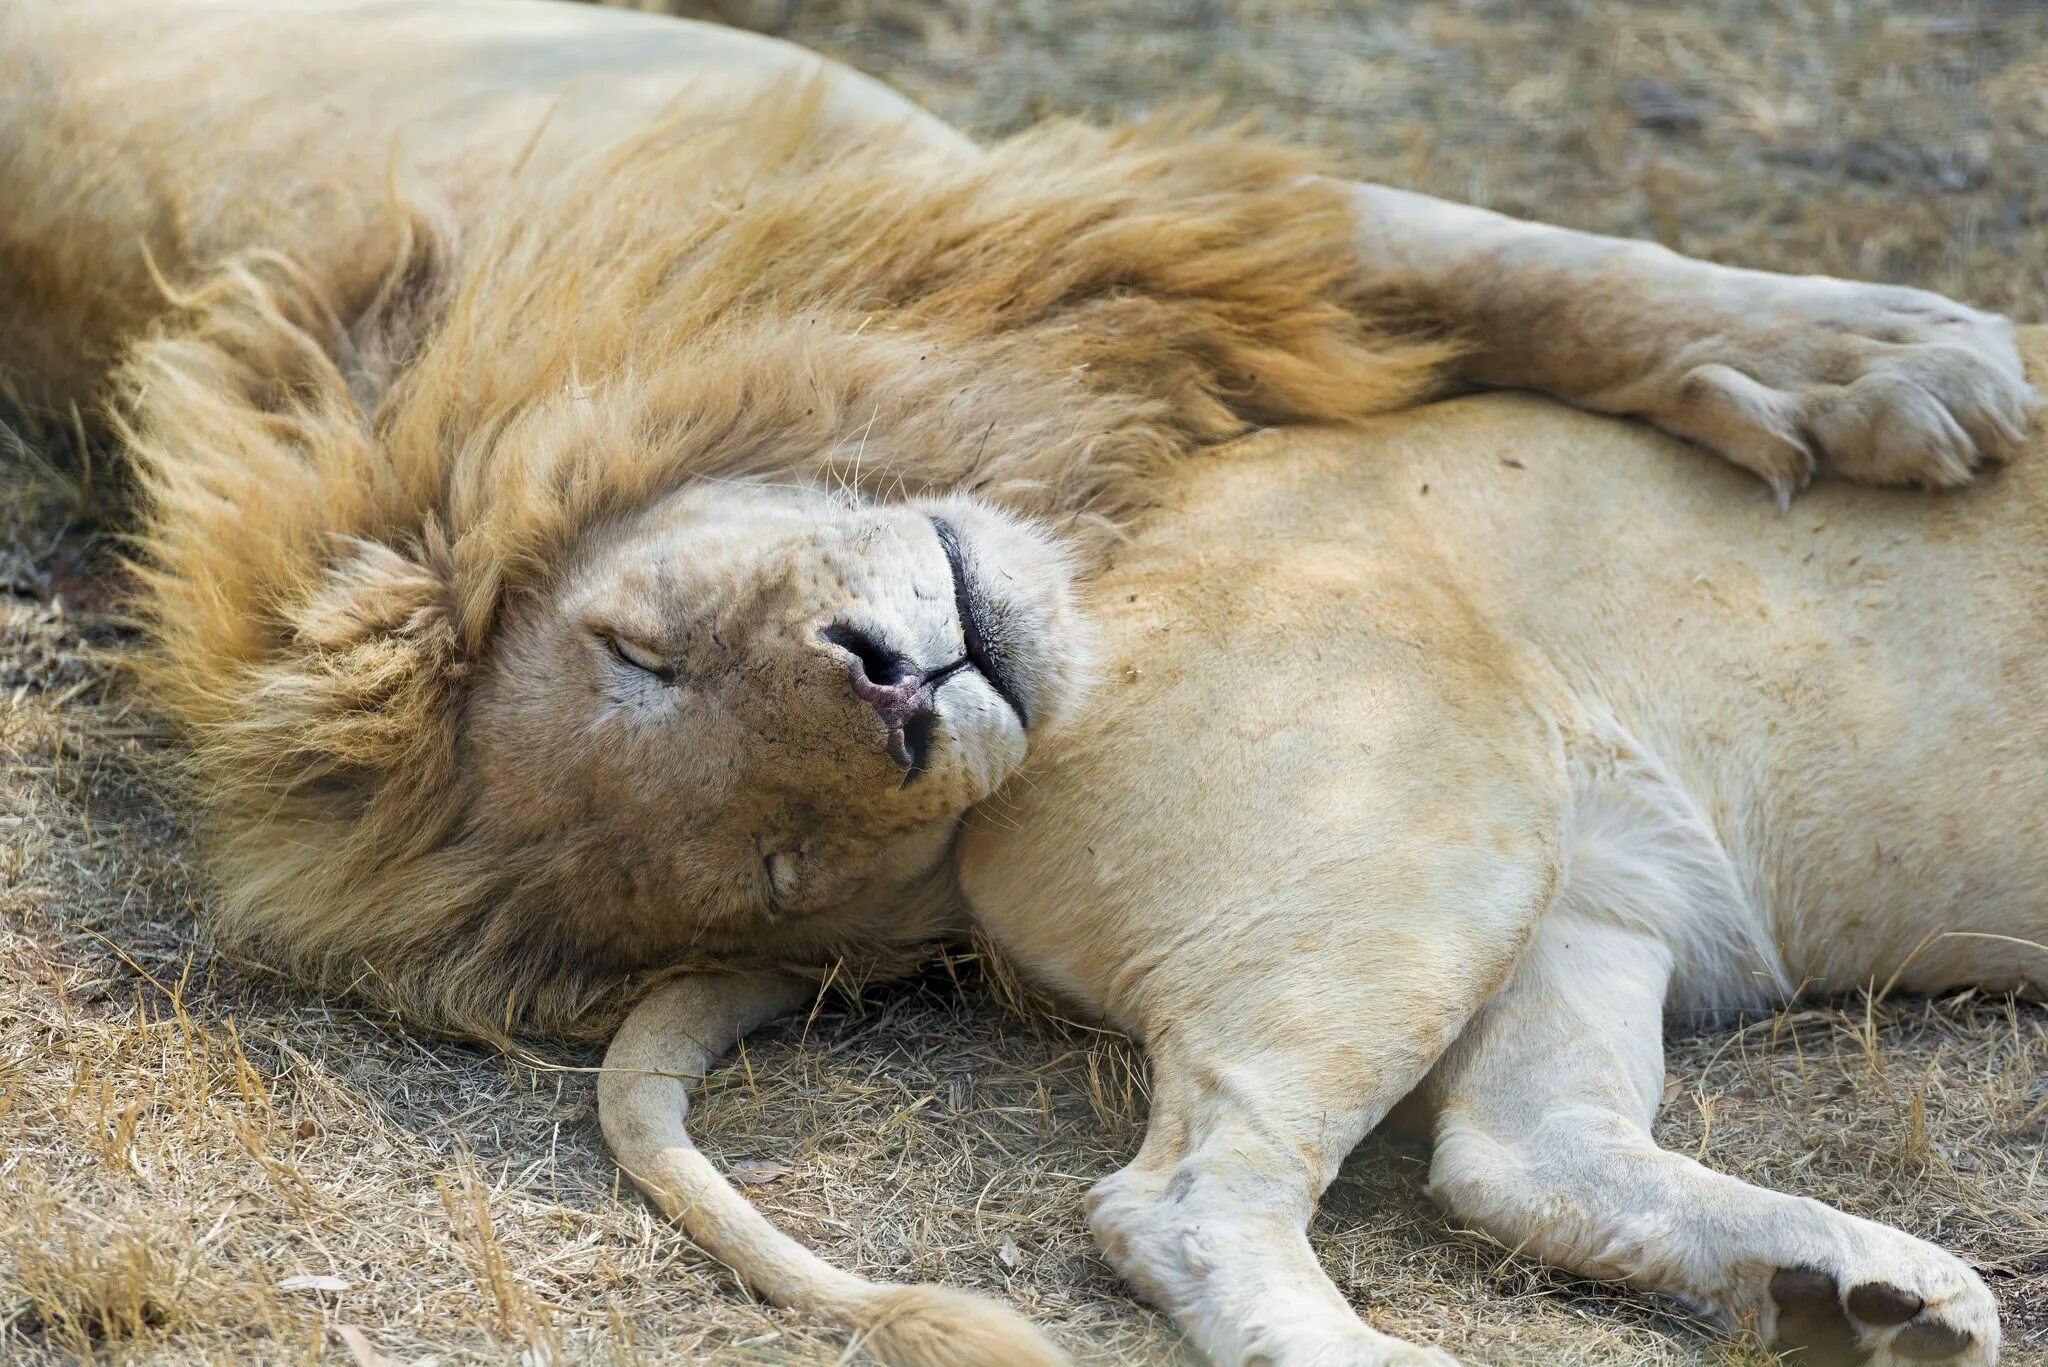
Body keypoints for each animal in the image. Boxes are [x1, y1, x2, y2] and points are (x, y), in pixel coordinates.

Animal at [8, 2, 2039, 1367]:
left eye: (638, 653)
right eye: (779, 865)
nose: (899, 696)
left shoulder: (1042, 210)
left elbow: (1533, 270)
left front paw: (1879, 359)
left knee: (1524, 1145)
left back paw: (1851, 1290)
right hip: (1408, 838)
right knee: (1212, 1191)